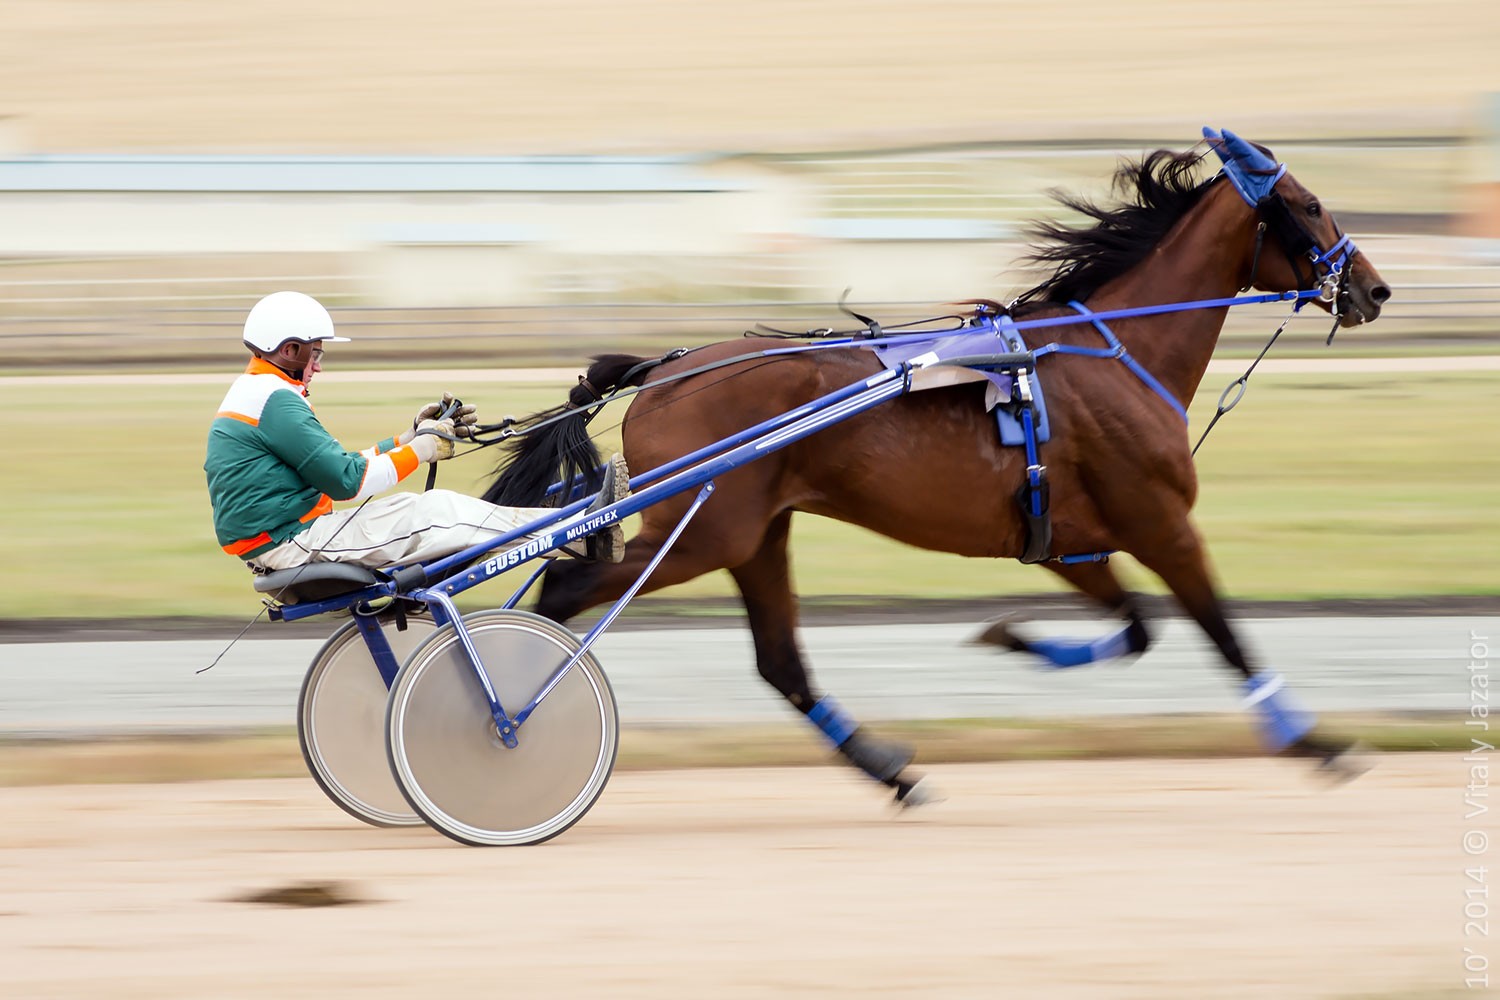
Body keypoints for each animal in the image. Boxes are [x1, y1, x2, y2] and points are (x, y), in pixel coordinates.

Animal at [480, 131, 1392, 803]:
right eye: (1310, 205)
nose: (1376, 290)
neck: (1116, 353)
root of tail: (663, 371)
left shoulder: (1066, 541)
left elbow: (1138, 627)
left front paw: (1013, 637)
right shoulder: (1161, 521)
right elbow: (1222, 632)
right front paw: (1314, 743)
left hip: (754, 533)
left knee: (779, 662)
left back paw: (892, 771)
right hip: (706, 531)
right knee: (565, 591)